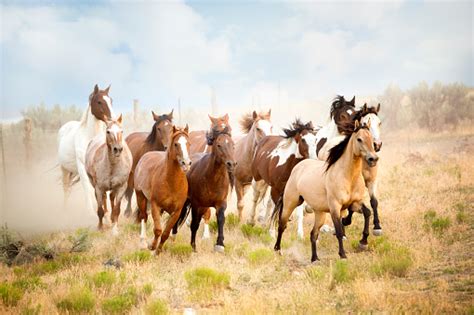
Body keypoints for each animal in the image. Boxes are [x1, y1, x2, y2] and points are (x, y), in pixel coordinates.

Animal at [57, 84, 114, 215]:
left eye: (111, 101)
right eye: (99, 101)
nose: (112, 120)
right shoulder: (82, 167)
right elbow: (87, 188)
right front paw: (90, 212)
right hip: (65, 169)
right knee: (65, 187)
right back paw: (64, 210)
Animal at [132, 126, 192, 254]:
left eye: (188, 143)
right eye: (176, 144)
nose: (186, 163)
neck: (171, 182)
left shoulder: (176, 212)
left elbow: (165, 233)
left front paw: (158, 251)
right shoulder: (155, 205)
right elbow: (158, 229)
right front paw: (152, 246)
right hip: (140, 196)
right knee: (143, 216)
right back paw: (143, 243)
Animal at [272, 121, 380, 262]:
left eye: (371, 139)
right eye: (359, 139)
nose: (373, 159)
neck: (347, 176)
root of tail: (297, 167)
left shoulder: (354, 203)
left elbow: (367, 213)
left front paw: (363, 242)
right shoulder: (335, 207)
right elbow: (339, 231)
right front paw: (343, 255)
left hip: (320, 213)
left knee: (313, 233)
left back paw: (315, 259)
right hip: (291, 203)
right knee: (282, 225)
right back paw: (278, 250)